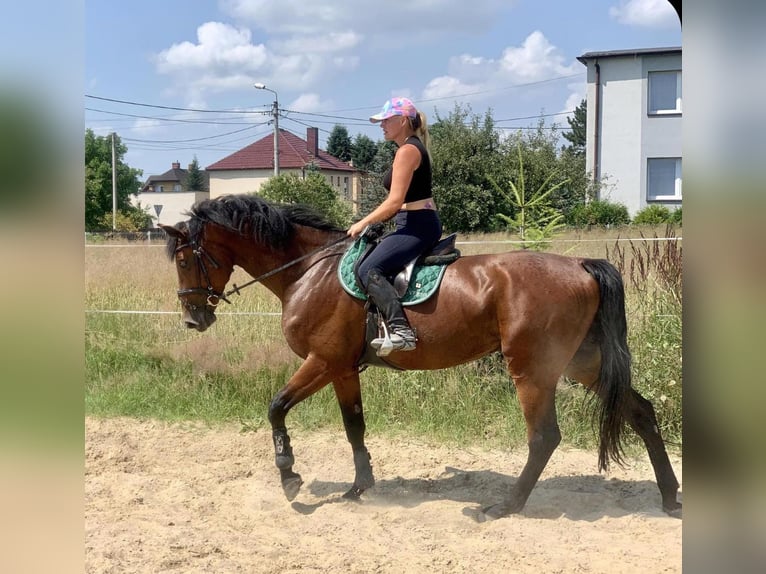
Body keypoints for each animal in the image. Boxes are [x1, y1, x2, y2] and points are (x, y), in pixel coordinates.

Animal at [162, 196, 684, 524]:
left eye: (185, 259)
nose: (192, 319)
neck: (310, 271)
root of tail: (580, 265)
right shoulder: (342, 368)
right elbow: (354, 425)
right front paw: (359, 487)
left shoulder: (322, 360)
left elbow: (276, 407)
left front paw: (289, 474)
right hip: (582, 362)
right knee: (642, 413)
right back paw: (670, 497)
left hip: (534, 370)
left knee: (544, 438)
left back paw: (504, 507)